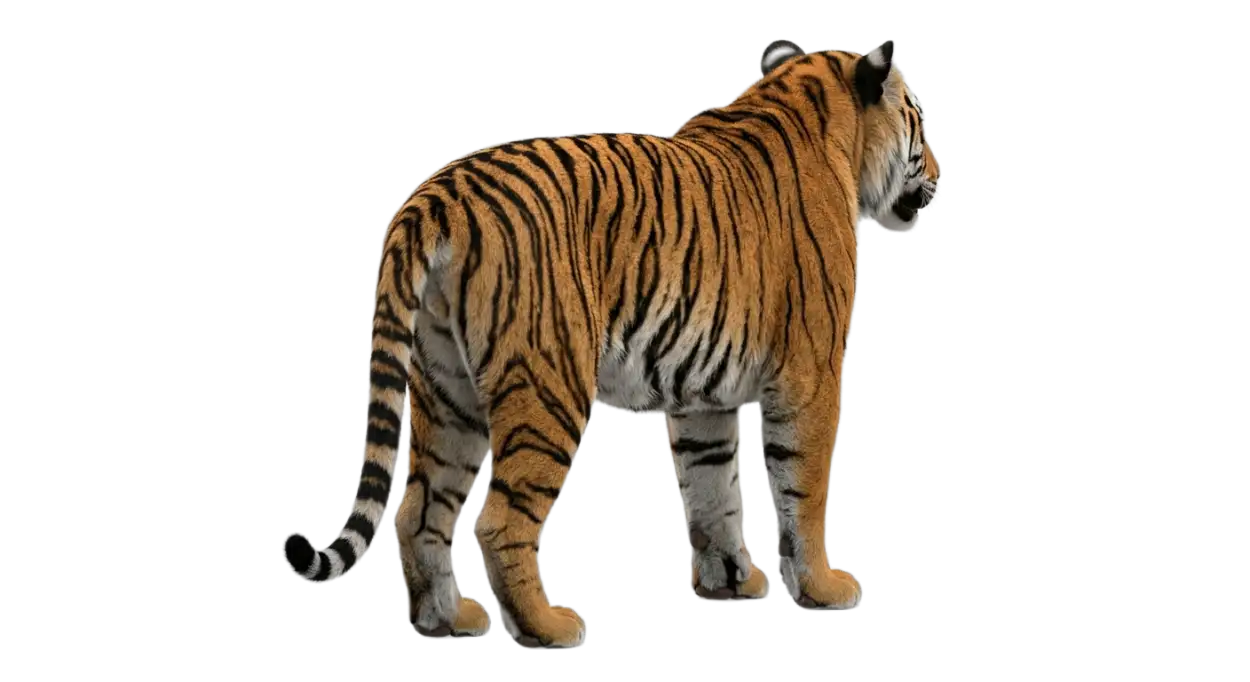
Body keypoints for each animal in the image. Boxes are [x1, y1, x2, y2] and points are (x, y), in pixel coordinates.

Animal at [280, 37, 941, 648]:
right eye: (917, 115)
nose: (938, 172)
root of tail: (436, 195)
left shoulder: (704, 394)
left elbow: (713, 488)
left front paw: (730, 581)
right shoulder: (811, 373)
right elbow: (805, 489)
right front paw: (825, 587)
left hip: (447, 392)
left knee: (418, 509)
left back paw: (447, 619)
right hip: (548, 385)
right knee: (500, 520)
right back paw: (549, 626)